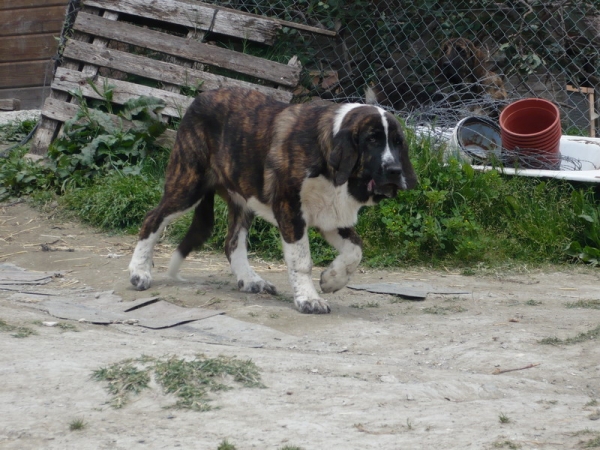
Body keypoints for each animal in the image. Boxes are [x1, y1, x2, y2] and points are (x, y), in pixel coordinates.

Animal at [127, 87, 418, 312]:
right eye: (372, 140)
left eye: (397, 142)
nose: (395, 171)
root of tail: (198, 99)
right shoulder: (290, 210)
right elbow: (302, 261)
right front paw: (309, 299)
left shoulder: (331, 217)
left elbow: (356, 250)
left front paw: (333, 279)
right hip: (188, 184)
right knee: (152, 218)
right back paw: (139, 272)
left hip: (242, 200)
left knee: (232, 242)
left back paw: (250, 280)